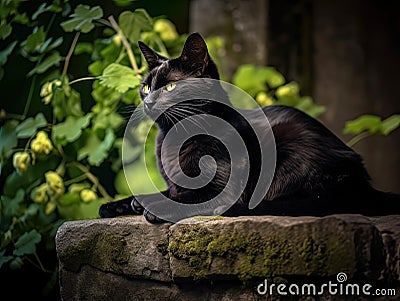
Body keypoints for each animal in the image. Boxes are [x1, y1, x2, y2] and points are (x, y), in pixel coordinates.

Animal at [98, 32, 398, 223]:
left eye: (170, 86)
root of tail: (360, 179)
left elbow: (189, 197)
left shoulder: (224, 186)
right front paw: (124, 203)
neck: (176, 135)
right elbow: (166, 190)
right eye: (146, 87)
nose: (148, 101)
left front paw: (153, 207)